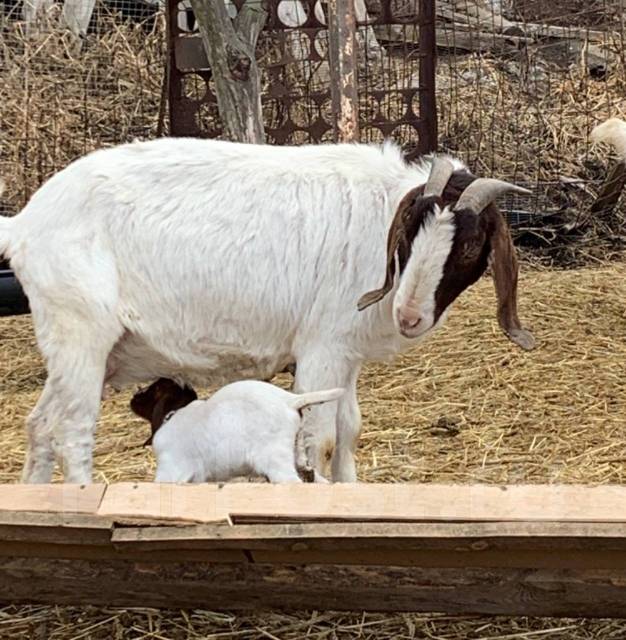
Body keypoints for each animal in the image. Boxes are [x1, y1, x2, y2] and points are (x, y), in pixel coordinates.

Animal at [0, 138, 532, 482]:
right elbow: (320, 440)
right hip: (81, 333)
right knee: (72, 431)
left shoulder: (345, 354)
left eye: (469, 247)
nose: (409, 316)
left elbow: (350, 431)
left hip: (70, 348)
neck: (374, 222)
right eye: (412, 230)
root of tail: (26, 222)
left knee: (39, 425)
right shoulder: (320, 349)